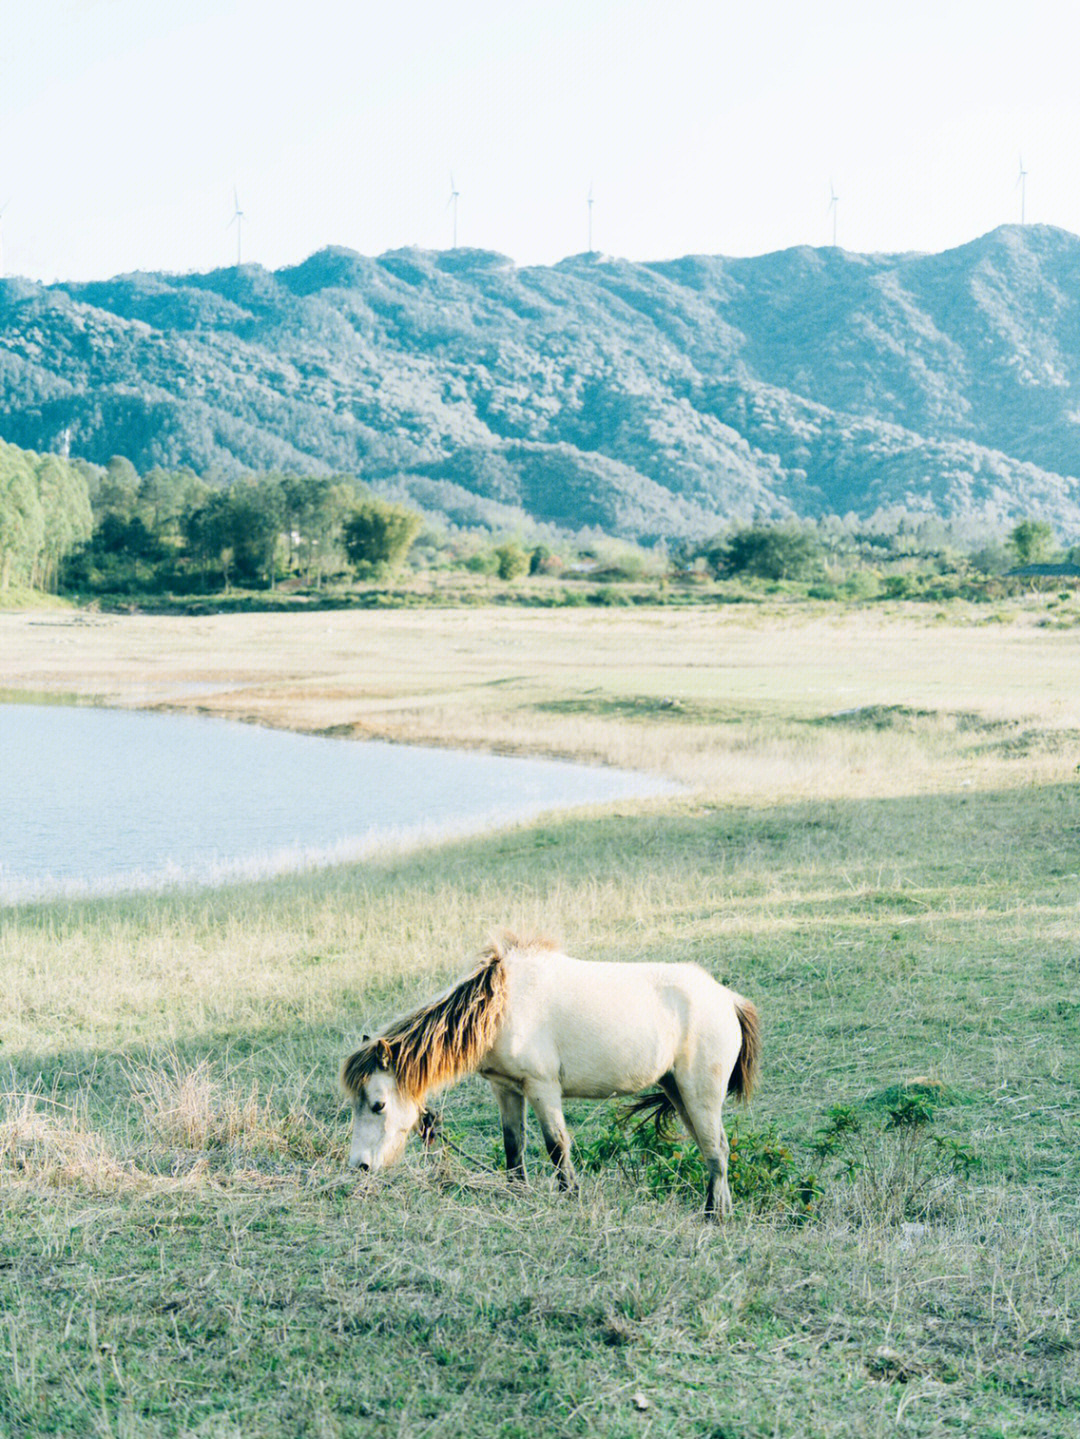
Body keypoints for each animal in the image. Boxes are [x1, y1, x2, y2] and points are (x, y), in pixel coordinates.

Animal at [339, 932, 759, 1226]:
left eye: (378, 1104)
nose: (359, 1166)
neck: (502, 1007)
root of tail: (727, 998)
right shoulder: (505, 1089)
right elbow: (514, 1145)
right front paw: (518, 1192)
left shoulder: (541, 1088)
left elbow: (557, 1145)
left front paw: (570, 1195)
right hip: (678, 1093)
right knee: (711, 1150)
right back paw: (720, 1211)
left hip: (699, 1094)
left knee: (717, 1150)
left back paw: (713, 1216)